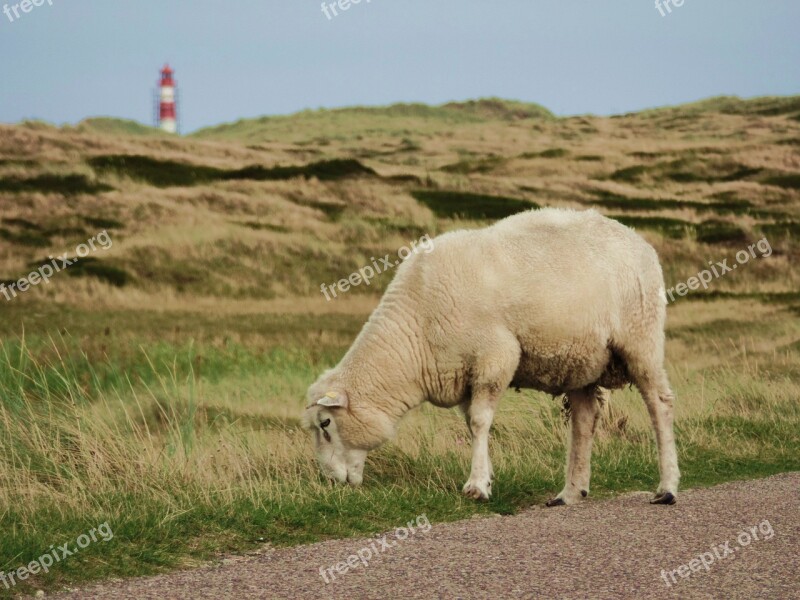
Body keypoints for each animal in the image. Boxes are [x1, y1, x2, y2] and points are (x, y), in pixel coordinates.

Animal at [304, 209, 680, 504]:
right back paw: (570, 492)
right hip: (580, 360)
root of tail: (638, 240)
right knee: (585, 420)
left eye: (325, 424)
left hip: (640, 339)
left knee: (659, 404)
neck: (415, 330)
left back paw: (667, 487)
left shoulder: (495, 356)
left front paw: (476, 486)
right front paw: (485, 476)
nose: (331, 482)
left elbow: (480, 421)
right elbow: (471, 425)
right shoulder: (461, 373)